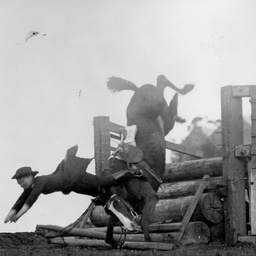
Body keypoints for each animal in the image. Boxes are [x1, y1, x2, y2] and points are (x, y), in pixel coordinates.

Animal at [100, 75, 194, 247]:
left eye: (118, 202)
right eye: (108, 209)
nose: (130, 226)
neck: (124, 176)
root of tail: (137, 89)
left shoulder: (151, 197)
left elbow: (144, 220)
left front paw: (148, 241)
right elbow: (109, 232)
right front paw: (114, 240)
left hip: (157, 103)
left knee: (161, 81)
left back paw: (183, 91)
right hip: (165, 121)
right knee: (166, 100)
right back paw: (179, 110)